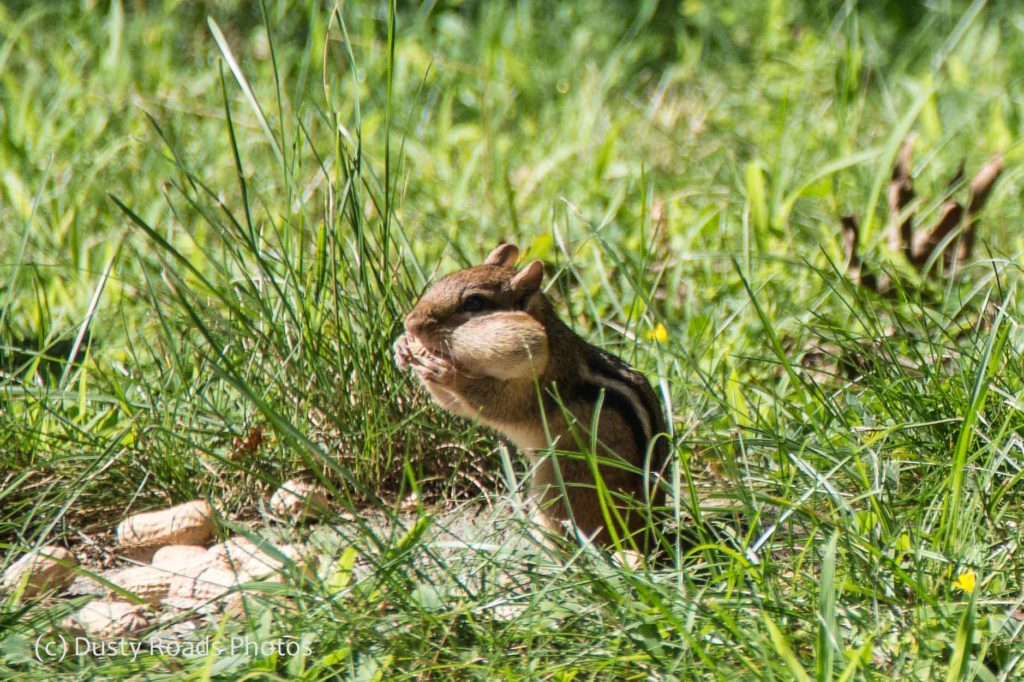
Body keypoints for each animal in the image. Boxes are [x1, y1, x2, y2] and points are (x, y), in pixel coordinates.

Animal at [394, 244, 670, 554]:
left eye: (474, 303)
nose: (411, 324)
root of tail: (649, 535)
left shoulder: (534, 389)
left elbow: (496, 406)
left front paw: (448, 373)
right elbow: (455, 406)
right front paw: (403, 347)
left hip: (562, 486)